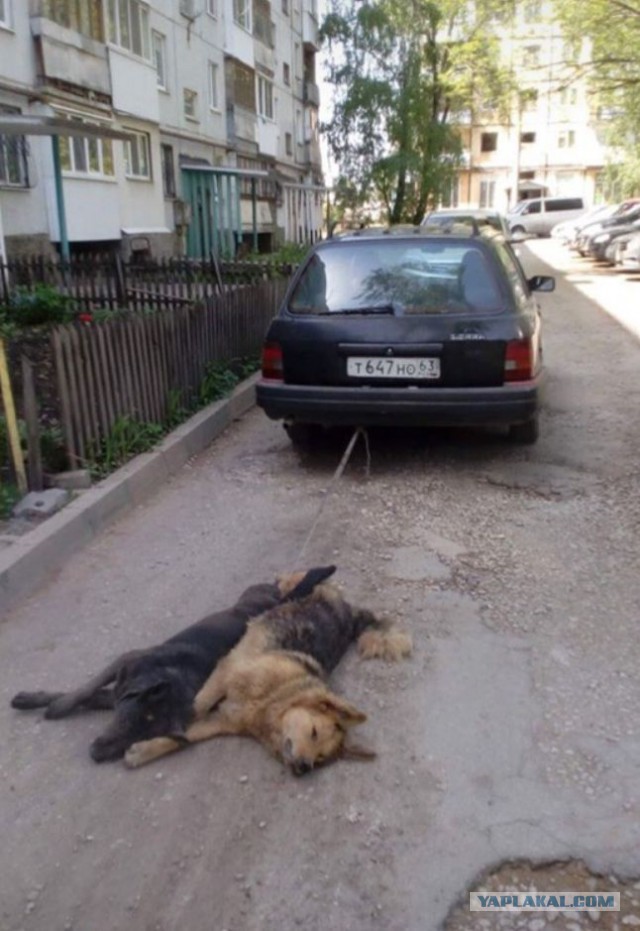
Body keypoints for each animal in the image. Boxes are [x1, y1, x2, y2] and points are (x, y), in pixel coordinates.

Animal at [10, 564, 336, 760]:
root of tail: (281, 602)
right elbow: (85, 689)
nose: (97, 755)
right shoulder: (125, 662)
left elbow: (92, 695)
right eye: (130, 720)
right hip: (251, 593)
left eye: (147, 733)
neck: (164, 677)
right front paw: (49, 703)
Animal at [125, 580, 412, 776]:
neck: (272, 699)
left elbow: (185, 738)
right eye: (314, 732)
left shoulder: (221, 721)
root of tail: (350, 613)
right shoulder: (226, 672)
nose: (304, 768)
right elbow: (197, 708)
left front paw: (146, 750)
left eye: (321, 760)